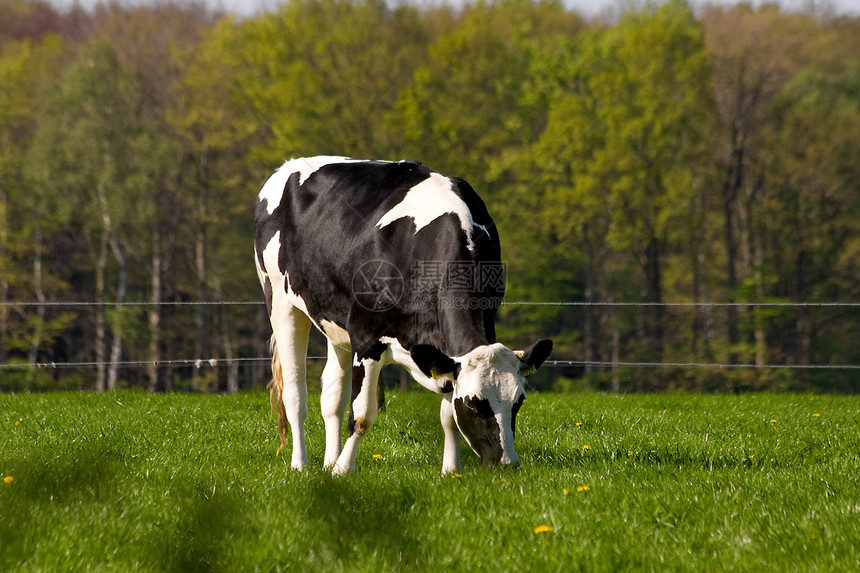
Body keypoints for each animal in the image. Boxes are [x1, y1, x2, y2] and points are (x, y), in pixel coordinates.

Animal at [254, 156, 552, 474]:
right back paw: (301, 464)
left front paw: (451, 471)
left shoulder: (442, 352)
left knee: (331, 396)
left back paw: (328, 463)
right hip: (280, 301)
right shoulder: (366, 338)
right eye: (474, 404)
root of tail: (289, 165)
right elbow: (361, 415)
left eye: (518, 402)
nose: (507, 463)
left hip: (335, 323)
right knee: (295, 394)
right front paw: (344, 470)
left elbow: (448, 415)